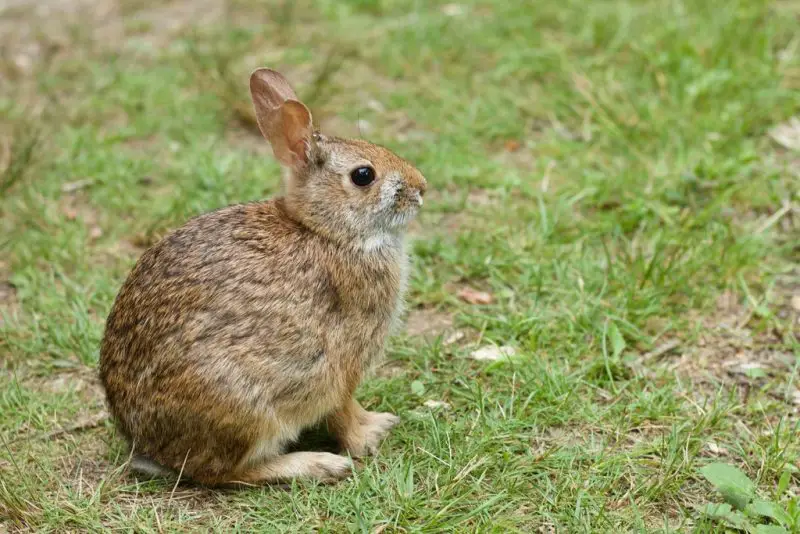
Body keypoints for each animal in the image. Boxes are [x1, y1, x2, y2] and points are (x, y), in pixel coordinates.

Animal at [99, 68, 427, 486]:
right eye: (363, 175)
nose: (421, 188)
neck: (326, 232)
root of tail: (149, 446)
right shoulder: (338, 366)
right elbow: (343, 411)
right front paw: (368, 437)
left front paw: (379, 422)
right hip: (244, 408)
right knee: (229, 473)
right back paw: (316, 464)